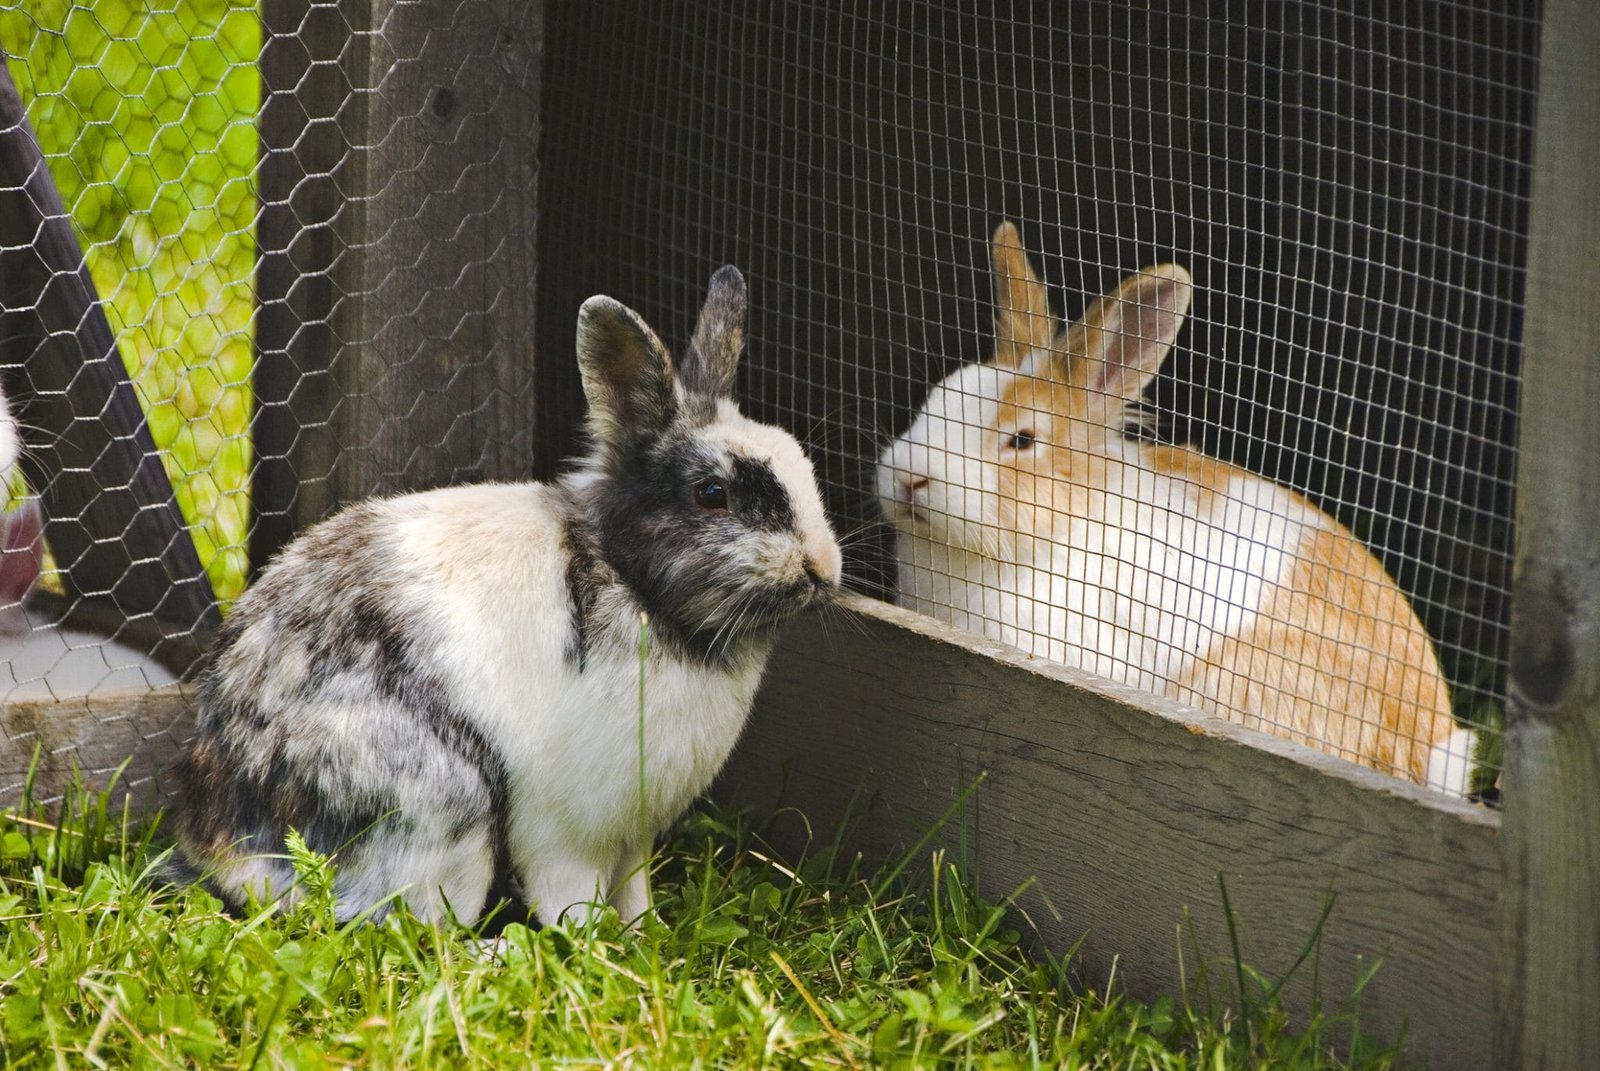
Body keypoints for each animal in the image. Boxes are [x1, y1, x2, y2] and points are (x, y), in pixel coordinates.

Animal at [170, 266, 843, 926]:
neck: (636, 584)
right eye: (711, 494)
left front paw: (645, 936)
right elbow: (571, 899)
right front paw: (597, 945)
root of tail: (220, 840)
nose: (822, 569)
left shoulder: (633, 836)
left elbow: (633, 891)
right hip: (447, 809)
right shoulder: (567, 834)